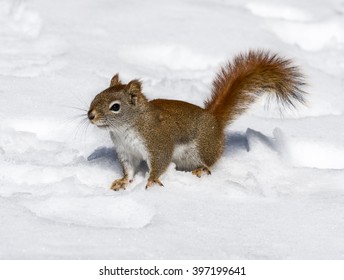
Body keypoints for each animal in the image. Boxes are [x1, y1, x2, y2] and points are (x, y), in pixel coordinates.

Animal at [87, 49, 306, 190]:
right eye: (96, 96)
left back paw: (201, 170)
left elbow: (160, 162)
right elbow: (129, 170)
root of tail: (215, 120)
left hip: (202, 148)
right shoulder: (126, 152)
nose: (90, 115)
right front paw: (123, 181)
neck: (126, 129)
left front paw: (152, 180)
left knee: (210, 162)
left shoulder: (157, 143)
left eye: (115, 107)